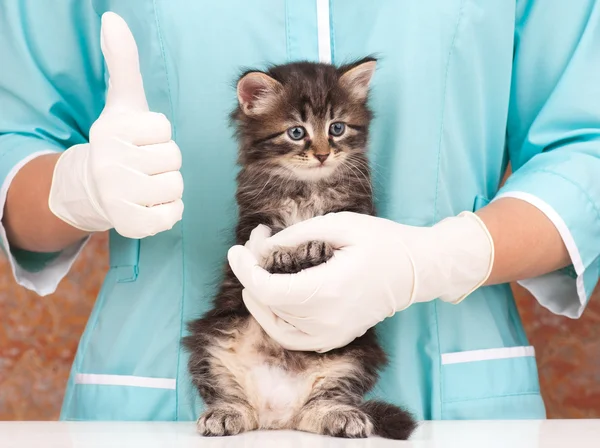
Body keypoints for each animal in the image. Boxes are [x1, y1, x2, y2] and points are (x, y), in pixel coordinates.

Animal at [184, 57, 418, 440]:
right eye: (296, 132)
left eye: (337, 128)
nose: (323, 154)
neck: (306, 187)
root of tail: (276, 415)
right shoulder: (251, 221)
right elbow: (265, 241)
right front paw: (281, 254)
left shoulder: (356, 212)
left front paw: (312, 247)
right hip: (210, 342)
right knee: (228, 392)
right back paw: (226, 413)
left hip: (353, 355)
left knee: (323, 401)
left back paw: (340, 416)